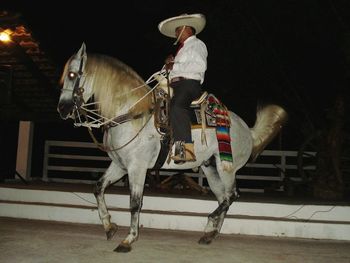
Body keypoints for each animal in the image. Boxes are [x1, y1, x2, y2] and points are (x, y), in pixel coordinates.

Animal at [56, 43, 288, 254]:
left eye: (72, 74)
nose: (62, 109)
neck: (133, 114)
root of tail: (247, 129)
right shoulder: (120, 166)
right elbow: (98, 188)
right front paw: (109, 226)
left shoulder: (137, 168)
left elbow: (135, 203)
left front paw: (128, 240)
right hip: (211, 168)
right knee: (224, 198)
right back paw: (210, 234)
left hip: (226, 169)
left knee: (232, 196)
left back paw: (210, 222)